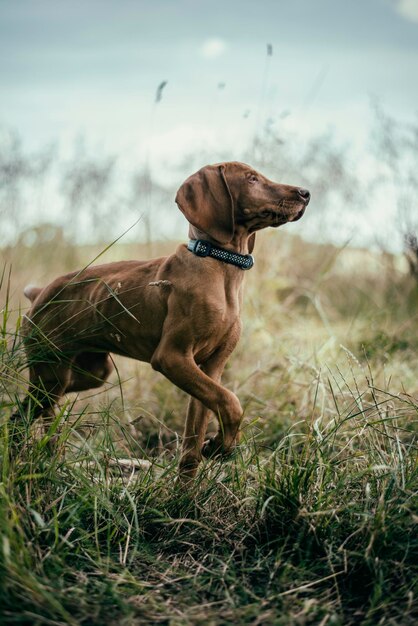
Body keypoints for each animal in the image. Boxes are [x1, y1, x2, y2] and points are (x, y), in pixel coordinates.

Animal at [13, 162, 310, 478]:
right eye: (251, 179)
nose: (305, 193)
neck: (219, 266)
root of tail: (40, 293)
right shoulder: (172, 357)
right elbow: (230, 401)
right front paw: (222, 445)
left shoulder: (210, 369)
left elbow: (197, 434)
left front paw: (200, 469)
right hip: (51, 370)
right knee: (24, 414)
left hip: (87, 372)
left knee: (39, 408)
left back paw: (49, 451)